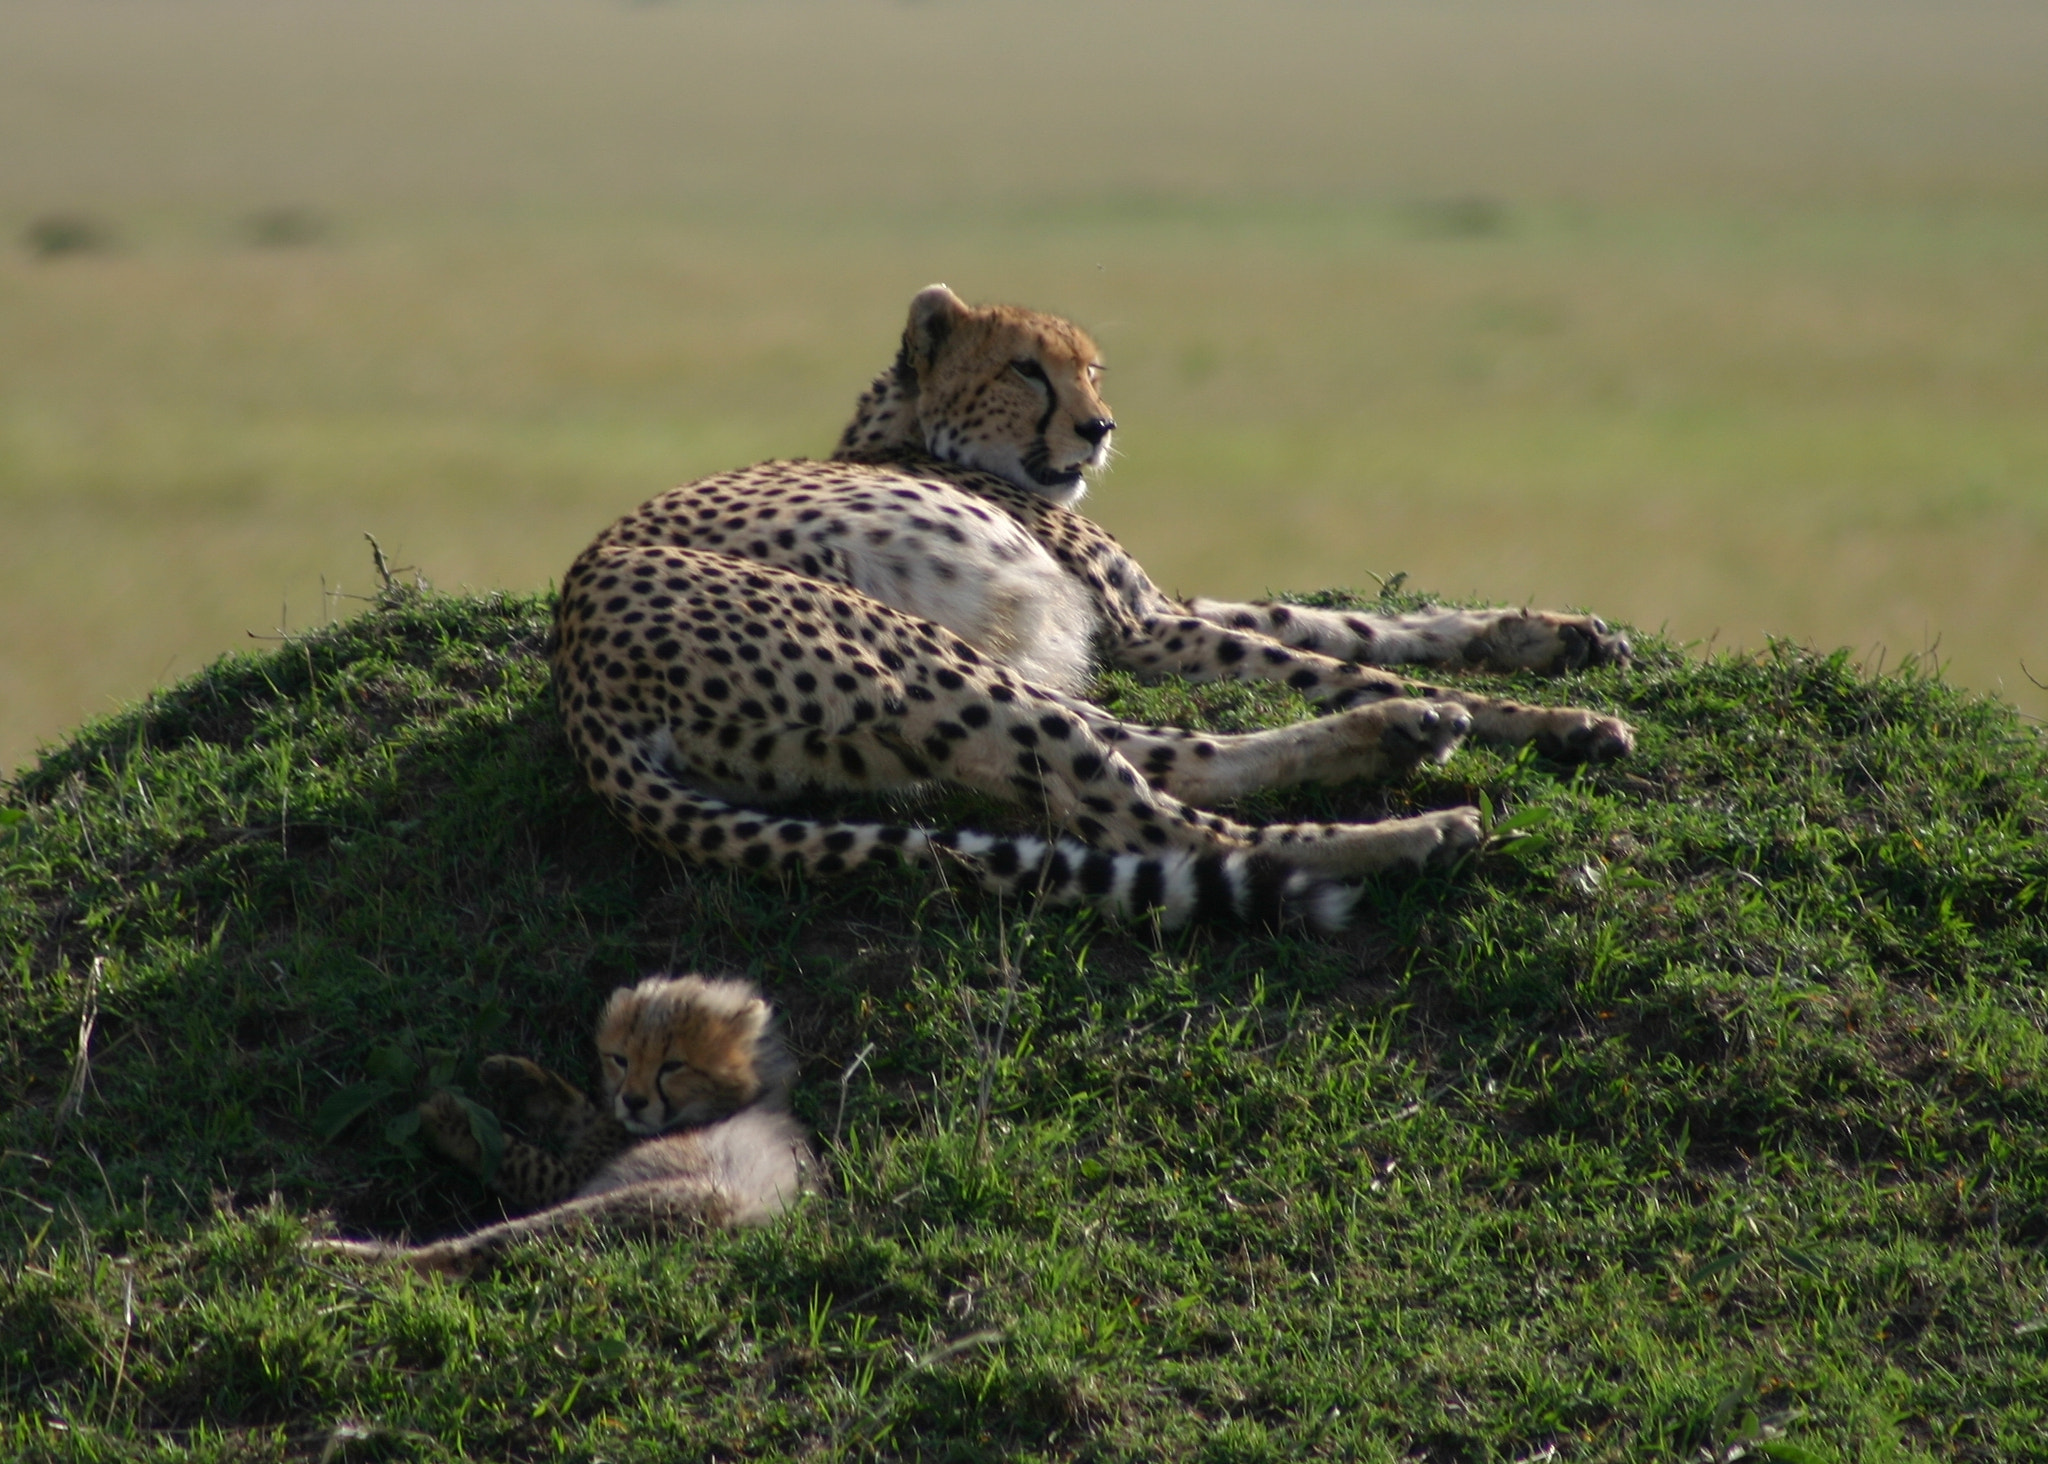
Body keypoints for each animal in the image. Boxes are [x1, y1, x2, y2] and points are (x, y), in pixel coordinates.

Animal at [557, 284, 1630, 929]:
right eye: (1025, 369)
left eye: (1090, 369)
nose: (1100, 426)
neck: (910, 436)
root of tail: (583, 702)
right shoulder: (1141, 628)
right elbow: (1332, 655)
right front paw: (1543, 717)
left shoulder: (1144, 610)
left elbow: (1344, 625)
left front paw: (1551, 641)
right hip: (925, 662)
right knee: (1172, 828)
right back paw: (1412, 834)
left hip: (946, 710)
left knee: (1172, 762)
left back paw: (1402, 733)